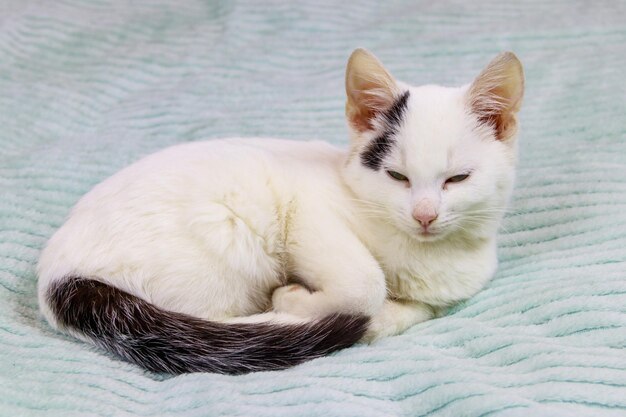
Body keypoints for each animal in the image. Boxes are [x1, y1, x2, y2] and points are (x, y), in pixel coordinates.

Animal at [35, 48, 520, 374]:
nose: (424, 215)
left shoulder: (447, 293)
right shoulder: (309, 210)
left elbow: (407, 310)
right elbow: (366, 284)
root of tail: (56, 272)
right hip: (227, 244)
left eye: (457, 179)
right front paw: (298, 301)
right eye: (397, 177)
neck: (421, 254)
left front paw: (378, 317)